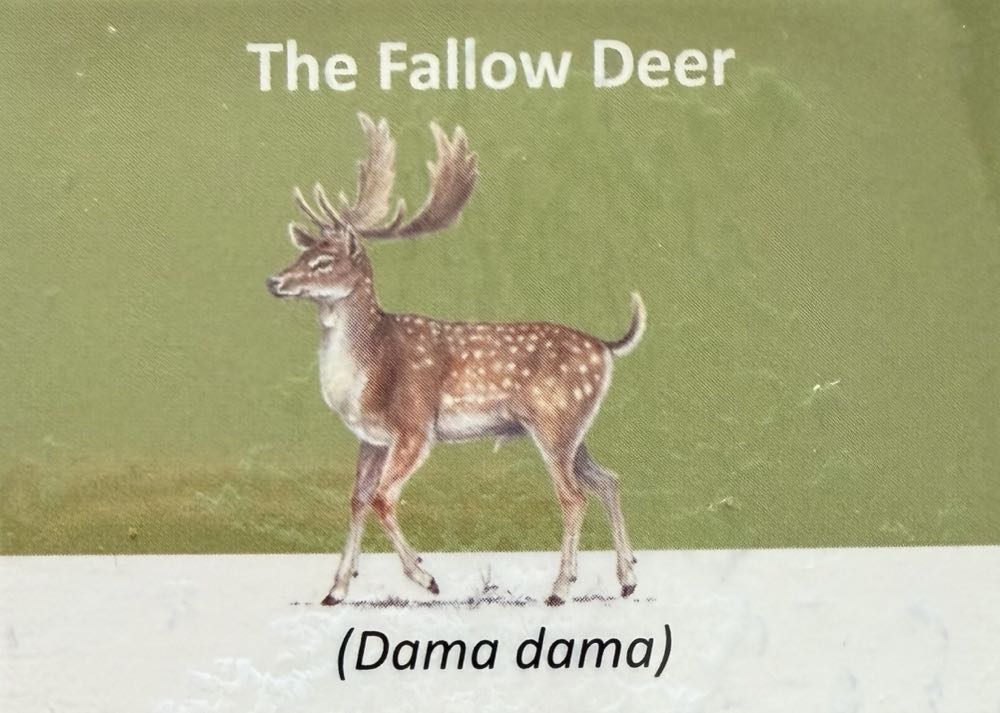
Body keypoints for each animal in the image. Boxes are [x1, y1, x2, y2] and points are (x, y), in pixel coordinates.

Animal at [266, 113, 646, 606]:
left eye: (323, 261)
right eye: (302, 252)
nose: (273, 281)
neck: (366, 372)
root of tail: (606, 346)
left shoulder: (414, 427)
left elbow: (382, 499)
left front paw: (425, 577)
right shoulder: (371, 438)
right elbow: (356, 499)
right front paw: (336, 590)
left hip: (555, 421)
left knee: (574, 496)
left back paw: (560, 588)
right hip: (575, 429)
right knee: (608, 480)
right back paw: (627, 578)